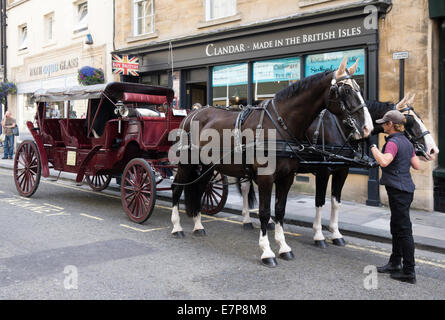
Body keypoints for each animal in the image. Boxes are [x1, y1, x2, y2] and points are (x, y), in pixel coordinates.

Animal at [171, 56, 374, 266]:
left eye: (360, 89)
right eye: (346, 90)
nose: (368, 127)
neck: (280, 124)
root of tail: (192, 114)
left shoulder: (290, 176)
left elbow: (281, 210)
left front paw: (284, 246)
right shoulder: (276, 176)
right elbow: (266, 211)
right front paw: (267, 251)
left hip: (208, 167)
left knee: (200, 189)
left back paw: (198, 225)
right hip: (186, 163)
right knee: (177, 188)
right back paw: (177, 227)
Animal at [236, 92, 438, 248]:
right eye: (409, 121)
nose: (433, 150)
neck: (341, 126)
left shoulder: (343, 171)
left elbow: (335, 202)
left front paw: (336, 234)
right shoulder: (323, 171)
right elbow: (319, 202)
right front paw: (318, 235)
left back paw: (267, 222)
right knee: (246, 189)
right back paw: (246, 220)